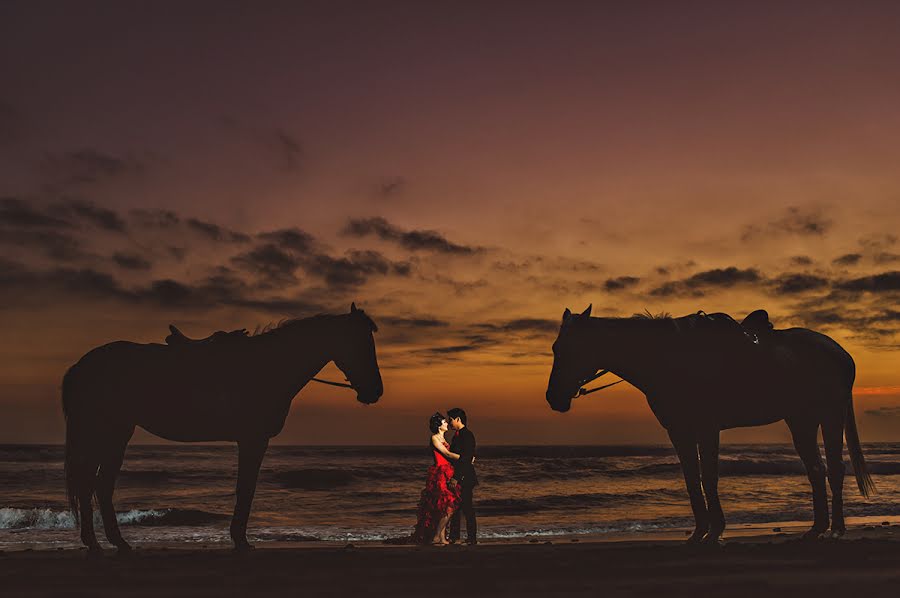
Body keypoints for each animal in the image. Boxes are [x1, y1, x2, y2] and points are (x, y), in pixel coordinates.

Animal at [61, 308, 382, 556]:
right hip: (107, 431)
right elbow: (246, 489)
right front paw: (240, 540)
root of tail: (82, 365)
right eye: (361, 344)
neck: (269, 365)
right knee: (93, 484)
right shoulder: (253, 440)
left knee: (99, 485)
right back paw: (99, 543)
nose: (375, 391)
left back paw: (113, 542)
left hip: (115, 433)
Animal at [544, 308, 876, 548]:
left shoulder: (706, 428)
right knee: (816, 470)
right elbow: (692, 480)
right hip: (801, 420)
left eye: (569, 348)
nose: (553, 398)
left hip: (830, 416)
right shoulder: (679, 431)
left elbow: (708, 477)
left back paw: (837, 529)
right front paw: (699, 532)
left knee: (835, 469)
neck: (667, 358)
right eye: (555, 347)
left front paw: (715, 531)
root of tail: (841, 353)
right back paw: (816, 529)